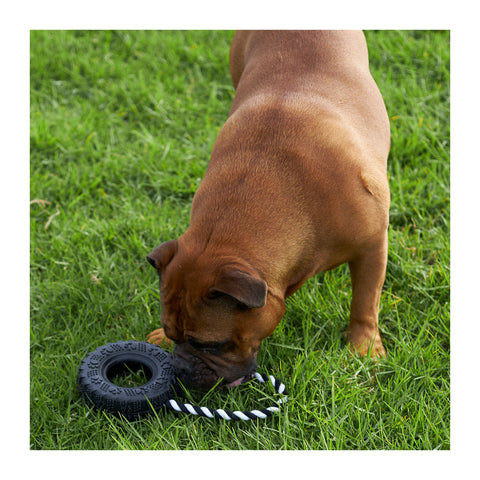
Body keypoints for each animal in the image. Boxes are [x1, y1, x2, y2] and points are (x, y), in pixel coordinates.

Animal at [146, 30, 390, 390]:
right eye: (174, 334)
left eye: (213, 344)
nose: (181, 369)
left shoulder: (373, 246)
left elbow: (365, 300)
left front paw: (364, 346)